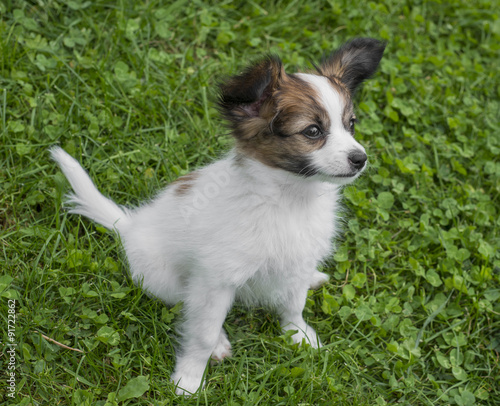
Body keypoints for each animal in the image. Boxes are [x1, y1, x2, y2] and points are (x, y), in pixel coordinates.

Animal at [50, 37, 384, 394]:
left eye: (351, 125)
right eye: (312, 131)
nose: (360, 158)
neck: (290, 199)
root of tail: (130, 225)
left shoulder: (298, 257)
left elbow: (294, 306)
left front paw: (300, 336)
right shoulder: (216, 281)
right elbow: (203, 333)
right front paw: (189, 378)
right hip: (163, 278)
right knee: (185, 304)